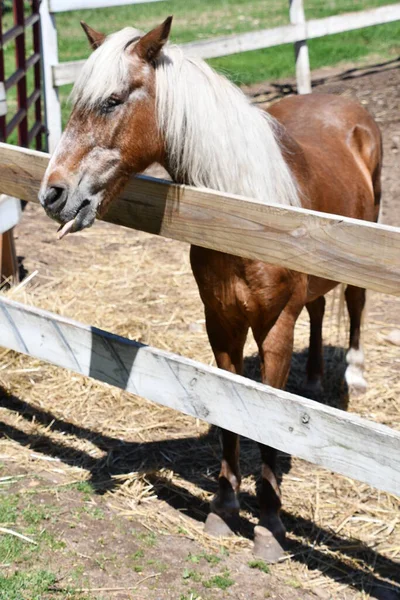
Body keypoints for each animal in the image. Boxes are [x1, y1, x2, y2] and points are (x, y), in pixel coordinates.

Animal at [39, 17, 382, 564]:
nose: (52, 194)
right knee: (319, 307)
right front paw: (223, 508)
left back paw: (353, 375)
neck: (246, 215)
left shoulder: (274, 330)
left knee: (353, 302)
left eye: (112, 101)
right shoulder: (220, 323)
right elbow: (231, 418)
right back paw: (310, 381)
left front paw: (269, 526)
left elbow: (265, 421)